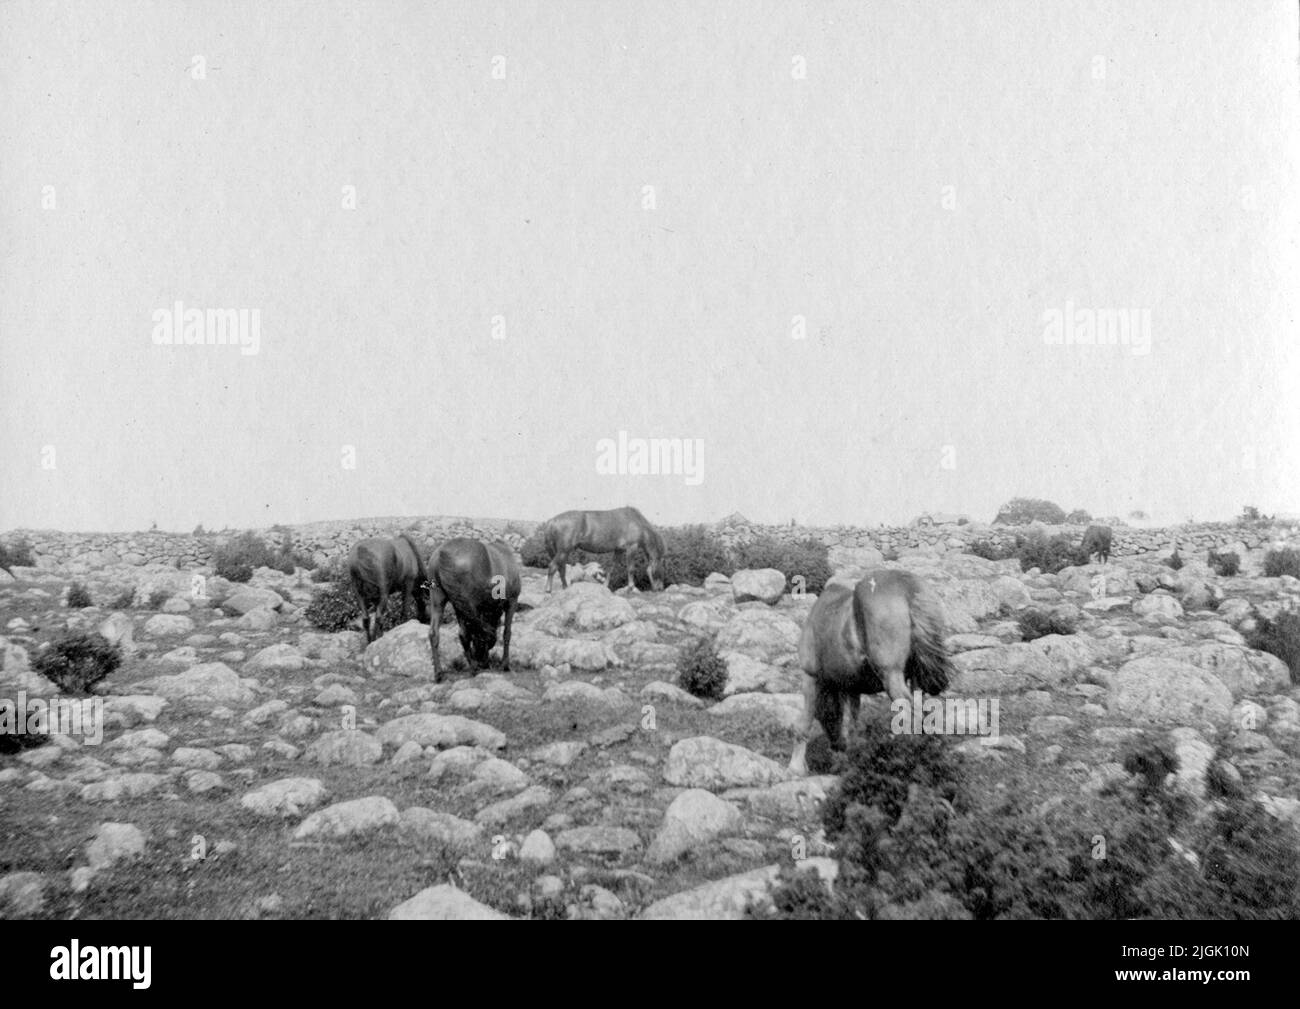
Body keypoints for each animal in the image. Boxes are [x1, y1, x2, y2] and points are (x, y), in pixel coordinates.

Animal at [427, 538, 521, 682]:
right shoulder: (512, 601)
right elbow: (506, 633)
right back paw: (474, 667)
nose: (483, 662)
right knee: (468, 633)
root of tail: (442, 554)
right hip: (466, 603)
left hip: (442, 600)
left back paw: (439, 673)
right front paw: (505, 664)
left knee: (436, 633)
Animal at [789, 569, 953, 776]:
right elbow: (854, 723)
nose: (837, 747)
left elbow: (805, 724)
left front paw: (795, 767)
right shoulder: (852, 688)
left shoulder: (811, 677)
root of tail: (907, 587)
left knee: (911, 712)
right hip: (916, 679)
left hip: (892, 677)